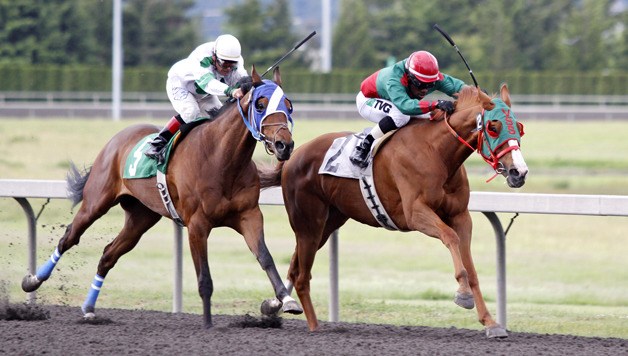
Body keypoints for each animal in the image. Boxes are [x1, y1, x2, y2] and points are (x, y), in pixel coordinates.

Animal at [24, 65, 306, 326]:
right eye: (260, 104)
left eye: (289, 105)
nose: (285, 145)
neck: (222, 160)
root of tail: (116, 139)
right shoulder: (197, 225)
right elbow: (204, 278)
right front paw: (207, 323)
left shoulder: (249, 215)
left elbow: (265, 258)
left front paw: (285, 300)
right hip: (96, 202)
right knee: (69, 238)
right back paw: (33, 280)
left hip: (141, 217)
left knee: (107, 255)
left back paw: (89, 308)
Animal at [258, 85, 528, 338]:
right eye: (493, 127)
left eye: (519, 127)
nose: (519, 172)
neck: (437, 152)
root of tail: (294, 156)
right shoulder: (415, 213)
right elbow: (450, 237)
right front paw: (462, 293)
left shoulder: (461, 216)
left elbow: (470, 267)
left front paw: (491, 323)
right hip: (308, 222)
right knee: (302, 276)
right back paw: (314, 327)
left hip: (327, 223)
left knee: (295, 268)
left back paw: (275, 305)